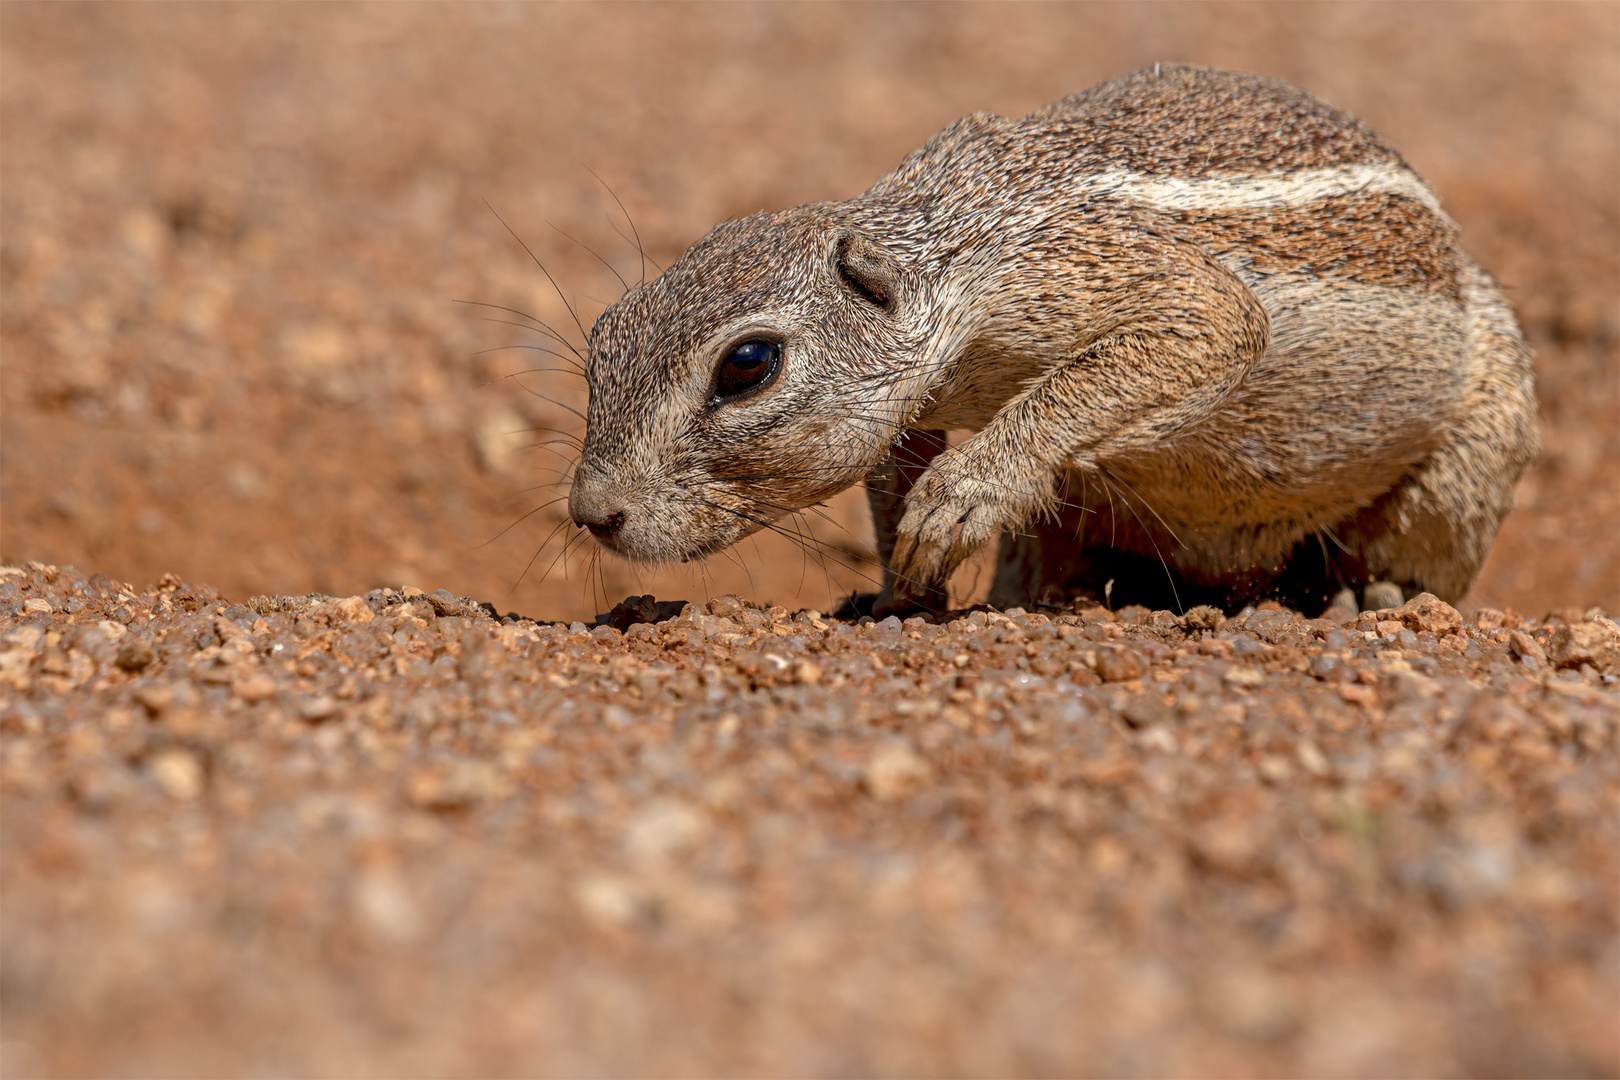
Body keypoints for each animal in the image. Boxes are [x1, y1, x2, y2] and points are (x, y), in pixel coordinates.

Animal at [563, 65, 1535, 615]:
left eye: (747, 365)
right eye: (605, 334)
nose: (591, 513)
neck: (949, 244)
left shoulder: (1078, 271)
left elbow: (1202, 321)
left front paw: (959, 497)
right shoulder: (913, 405)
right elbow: (891, 473)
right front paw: (900, 591)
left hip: (1467, 460)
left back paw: (1371, 595)